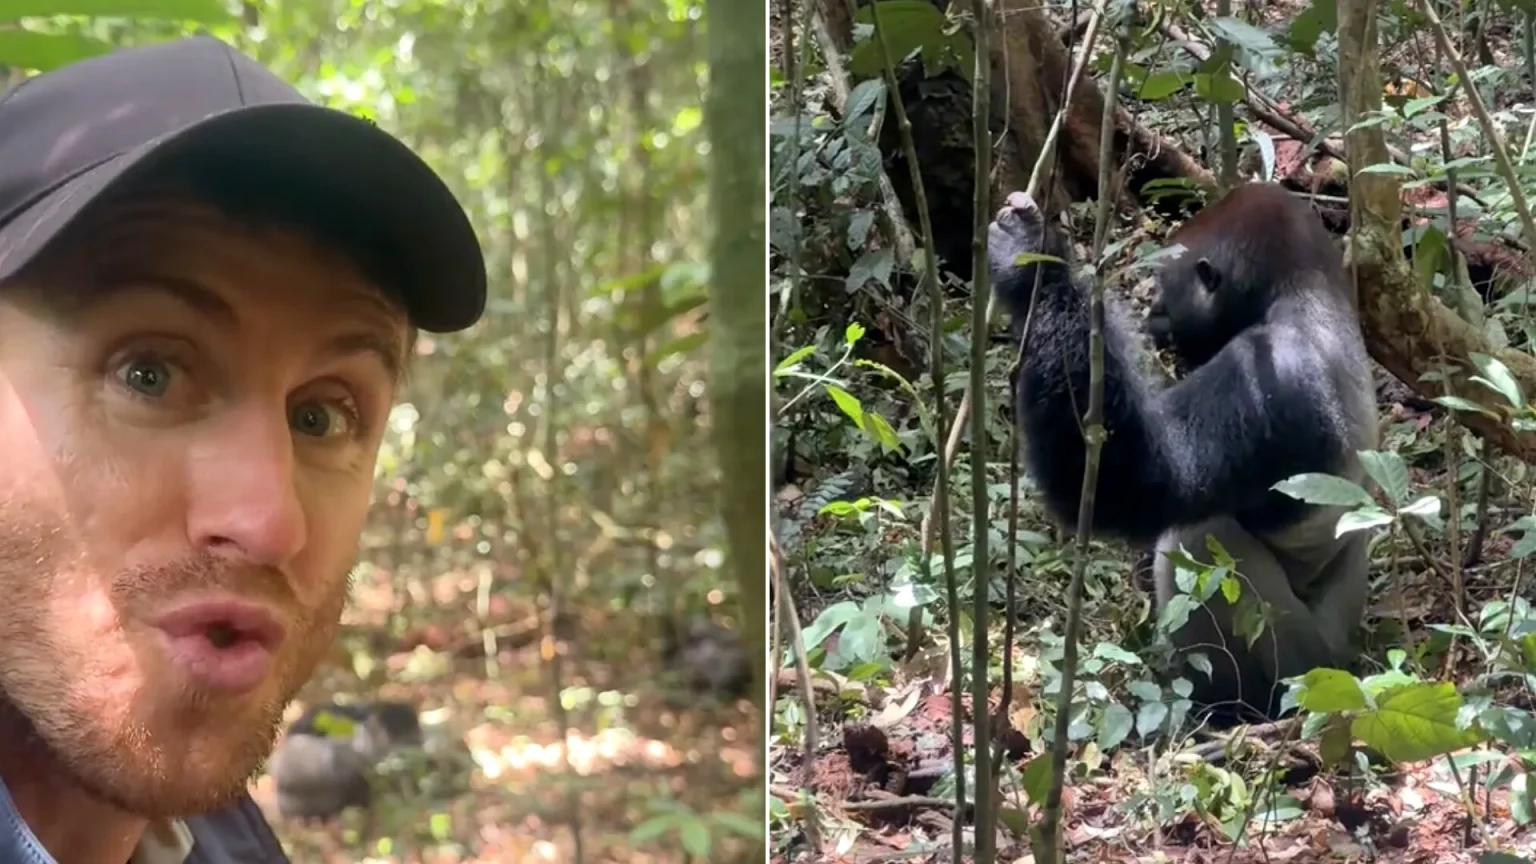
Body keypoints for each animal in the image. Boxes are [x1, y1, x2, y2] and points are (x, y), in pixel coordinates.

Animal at [988, 183, 1378, 722]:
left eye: (1164, 284)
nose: (1151, 308)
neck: (1305, 294)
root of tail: (1348, 665)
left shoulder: (1264, 372)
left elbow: (1132, 484)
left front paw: (1034, 266)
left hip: (1311, 675)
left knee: (1193, 538)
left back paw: (1225, 706)